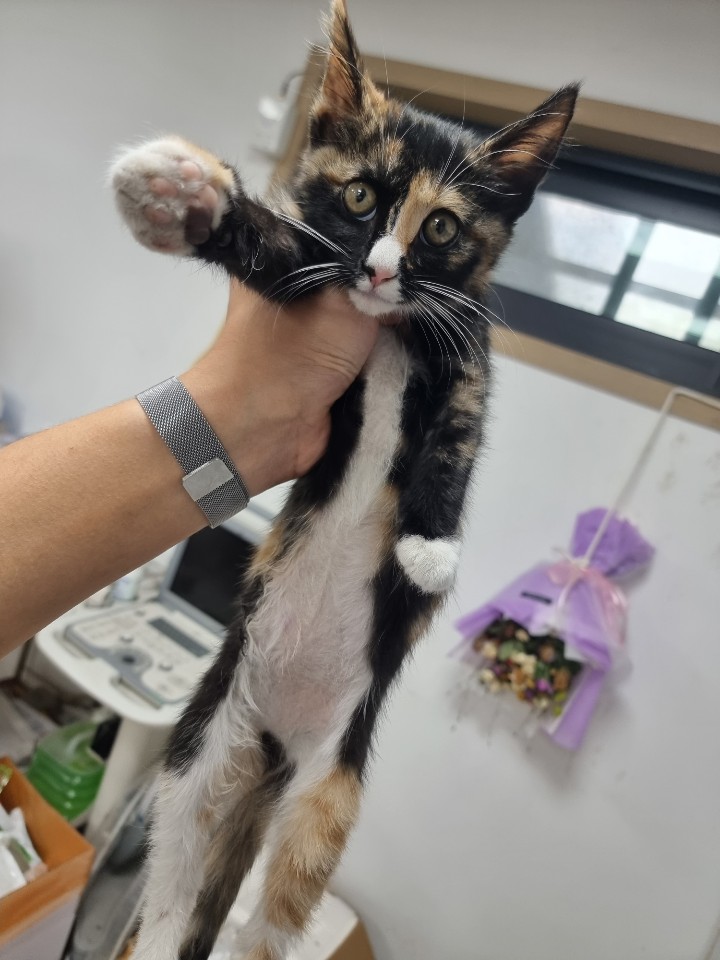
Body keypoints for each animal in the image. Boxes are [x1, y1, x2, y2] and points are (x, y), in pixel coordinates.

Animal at [110, 2, 577, 958]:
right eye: (361, 197)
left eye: (441, 229)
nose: (382, 269)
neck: (390, 331)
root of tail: (278, 750)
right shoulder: (316, 298)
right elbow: (282, 248)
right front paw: (188, 199)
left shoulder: (468, 348)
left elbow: (458, 434)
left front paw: (430, 550)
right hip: (204, 739)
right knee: (175, 872)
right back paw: (166, 923)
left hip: (328, 796)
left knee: (275, 915)